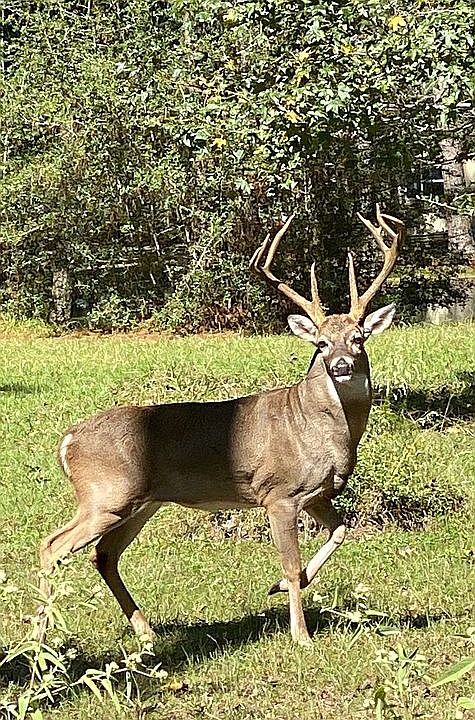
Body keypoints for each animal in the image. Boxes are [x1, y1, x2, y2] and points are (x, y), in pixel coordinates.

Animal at [38, 206, 404, 646]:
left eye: (358, 337)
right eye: (320, 343)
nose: (341, 365)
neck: (317, 430)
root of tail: (67, 442)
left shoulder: (318, 494)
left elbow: (339, 532)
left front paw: (279, 586)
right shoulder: (278, 493)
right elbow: (291, 561)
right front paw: (301, 634)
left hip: (142, 502)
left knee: (104, 554)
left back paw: (146, 631)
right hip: (105, 494)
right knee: (51, 546)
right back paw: (42, 640)